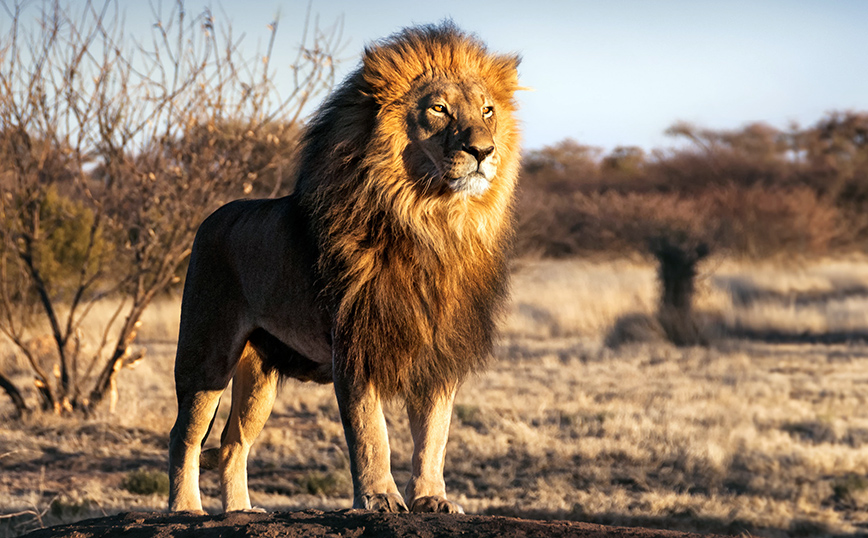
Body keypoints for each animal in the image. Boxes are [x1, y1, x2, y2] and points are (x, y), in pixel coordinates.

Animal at [168, 23, 524, 512]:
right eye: (439, 109)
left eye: (488, 111)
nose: (483, 150)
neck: (432, 223)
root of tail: (211, 217)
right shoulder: (355, 343)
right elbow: (371, 432)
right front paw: (379, 498)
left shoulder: (439, 351)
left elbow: (434, 434)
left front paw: (432, 499)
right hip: (207, 355)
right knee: (184, 434)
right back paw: (185, 508)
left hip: (260, 374)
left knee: (231, 442)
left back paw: (240, 510)